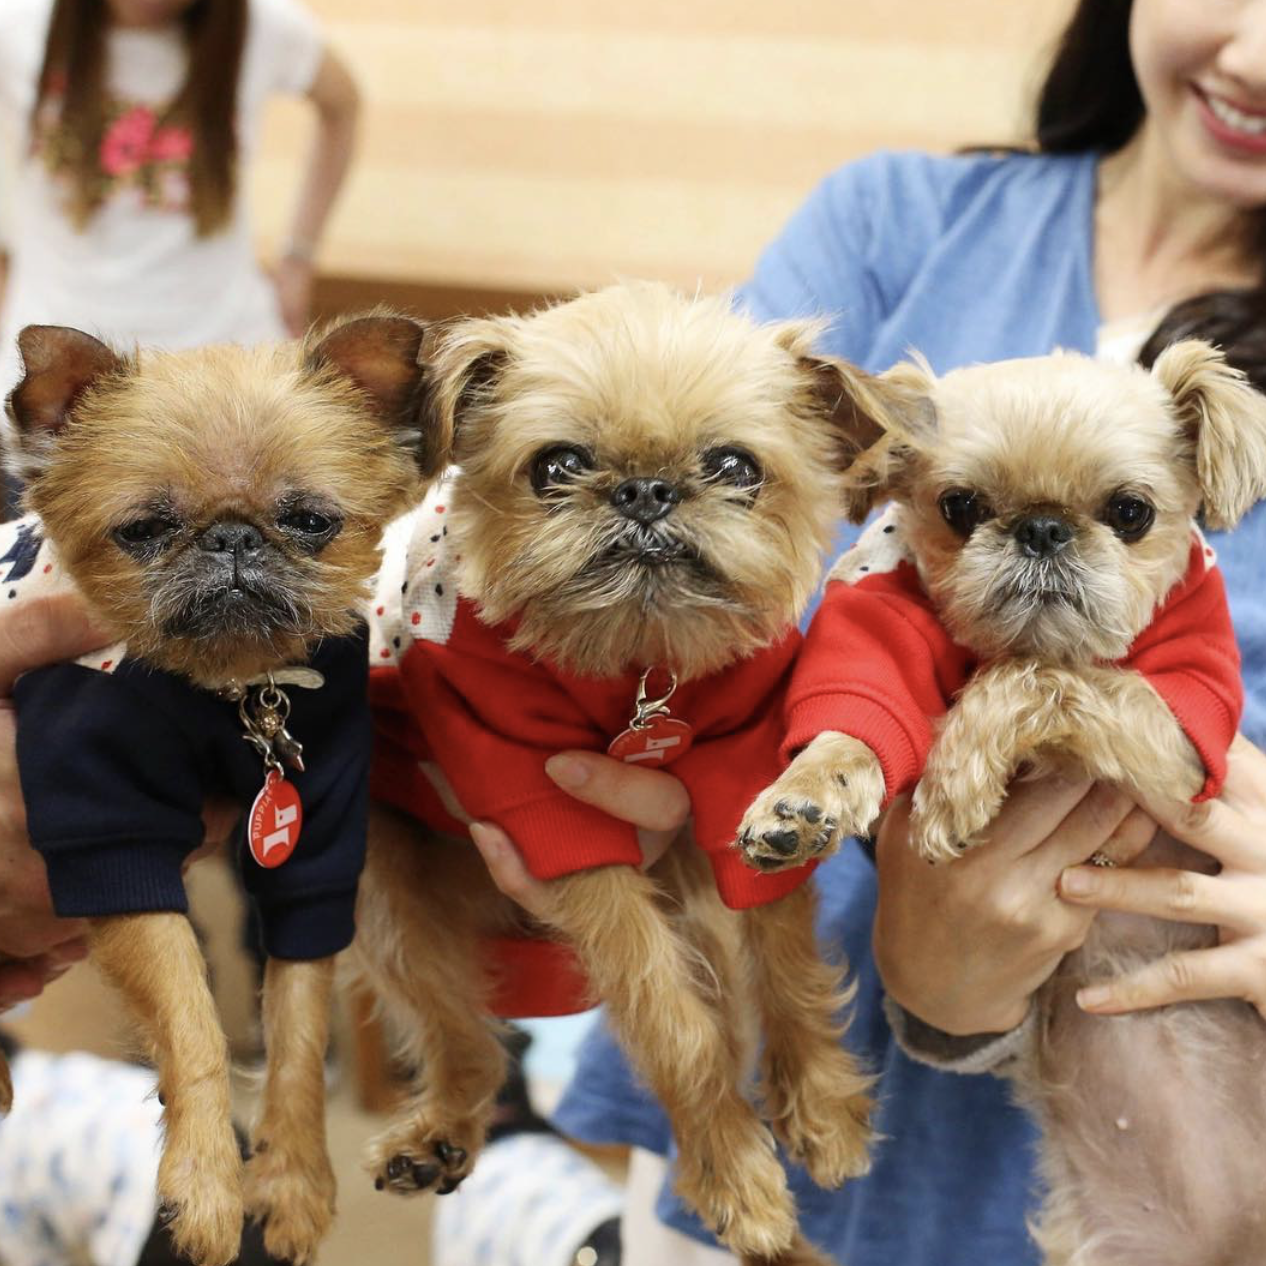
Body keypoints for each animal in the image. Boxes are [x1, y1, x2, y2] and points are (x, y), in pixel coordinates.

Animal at [351, 282, 926, 1260]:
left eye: (735, 466)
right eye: (557, 466)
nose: (647, 490)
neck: (638, 664)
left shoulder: (743, 783)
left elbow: (785, 959)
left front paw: (820, 1104)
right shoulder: (554, 819)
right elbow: (672, 1019)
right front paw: (735, 1172)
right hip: (385, 892)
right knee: (462, 1036)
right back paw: (440, 1132)